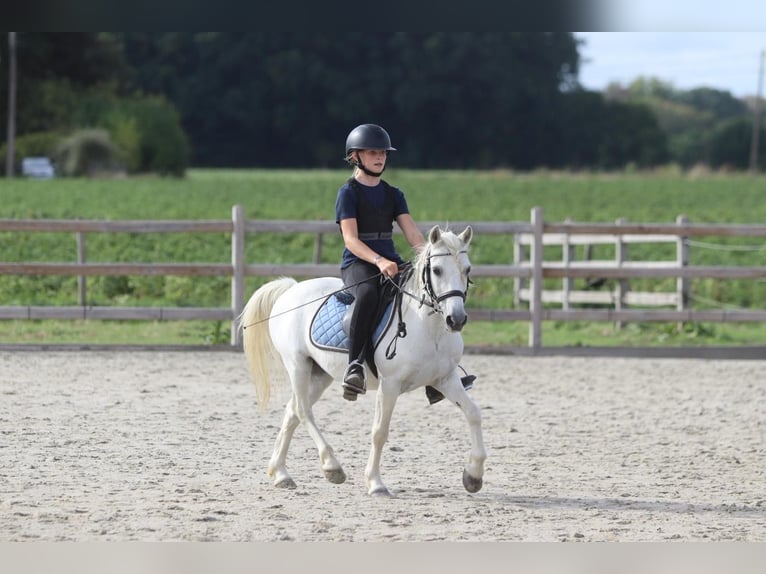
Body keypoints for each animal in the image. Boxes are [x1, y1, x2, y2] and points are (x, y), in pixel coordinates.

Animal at [238, 225, 486, 496]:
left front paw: (473, 475)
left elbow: (473, 413)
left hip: (320, 373)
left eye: (467, 269)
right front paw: (375, 483)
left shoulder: (446, 379)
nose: (457, 320)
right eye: (437, 270)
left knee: (292, 412)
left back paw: (281, 474)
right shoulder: (390, 384)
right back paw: (332, 466)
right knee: (303, 411)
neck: (429, 328)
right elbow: (380, 432)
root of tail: (291, 289)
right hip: (297, 365)